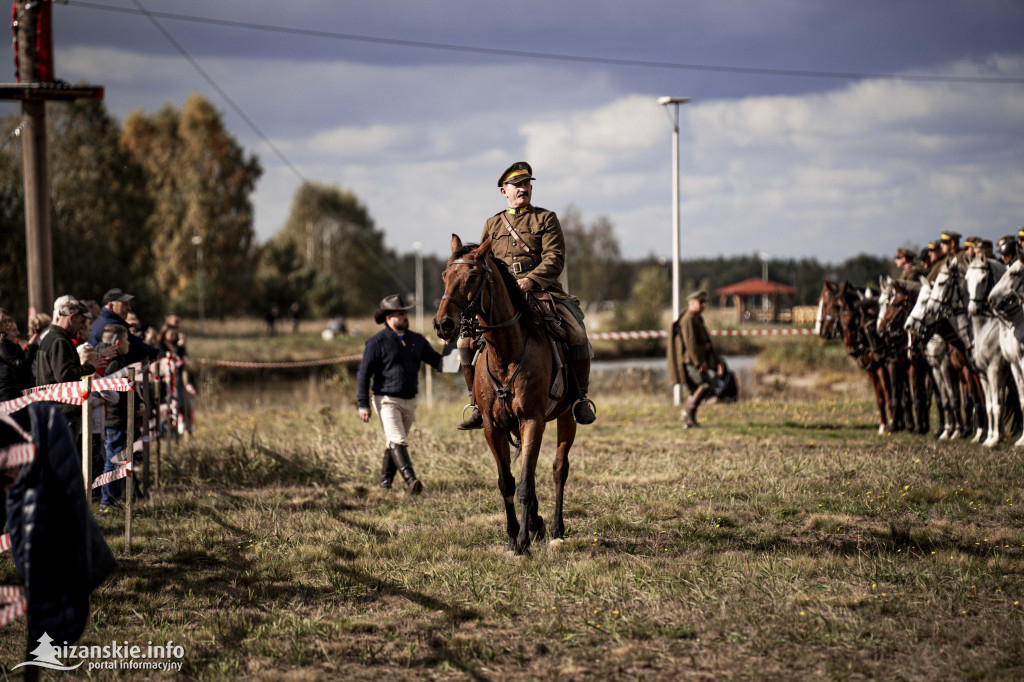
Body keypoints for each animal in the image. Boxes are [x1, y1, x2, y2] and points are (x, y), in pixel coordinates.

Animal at [432, 233, 577, 552]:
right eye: (445, 275)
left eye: (472, 276)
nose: (443, 324)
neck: (506, 351)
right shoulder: (493, 427)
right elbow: (507, 482)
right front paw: (513, 535)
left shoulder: (532, 421)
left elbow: (524, 483)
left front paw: (523, 540)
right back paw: (536, 522)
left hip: (566, 417)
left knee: (559, 469)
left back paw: (556, 529)